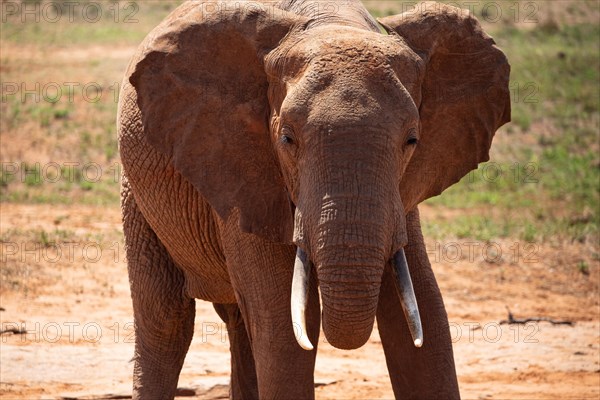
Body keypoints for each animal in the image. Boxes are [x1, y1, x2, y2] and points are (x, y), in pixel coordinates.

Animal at [117, 0, 510, 396]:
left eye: (412, 140)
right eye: (287, 139)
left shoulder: (402, 193)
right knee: (166, 322)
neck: (334, 22)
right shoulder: (243, 171)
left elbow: (424, 314)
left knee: (238, 321)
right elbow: (283, 325)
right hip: (136, 193)